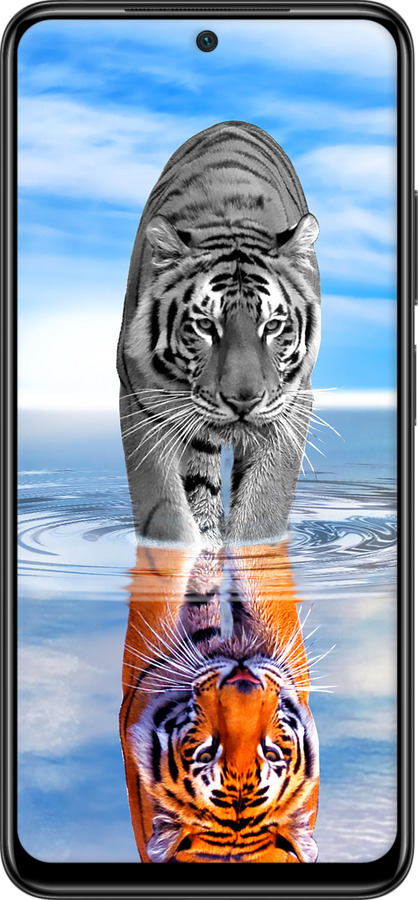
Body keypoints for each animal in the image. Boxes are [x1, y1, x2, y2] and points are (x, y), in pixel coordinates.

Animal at [117, 121, 321, 548]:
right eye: (205, 325)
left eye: (272, 326)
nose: (243, 401)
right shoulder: (141, 401)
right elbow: (164, 511)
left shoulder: (292, 404)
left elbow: (263, 508)